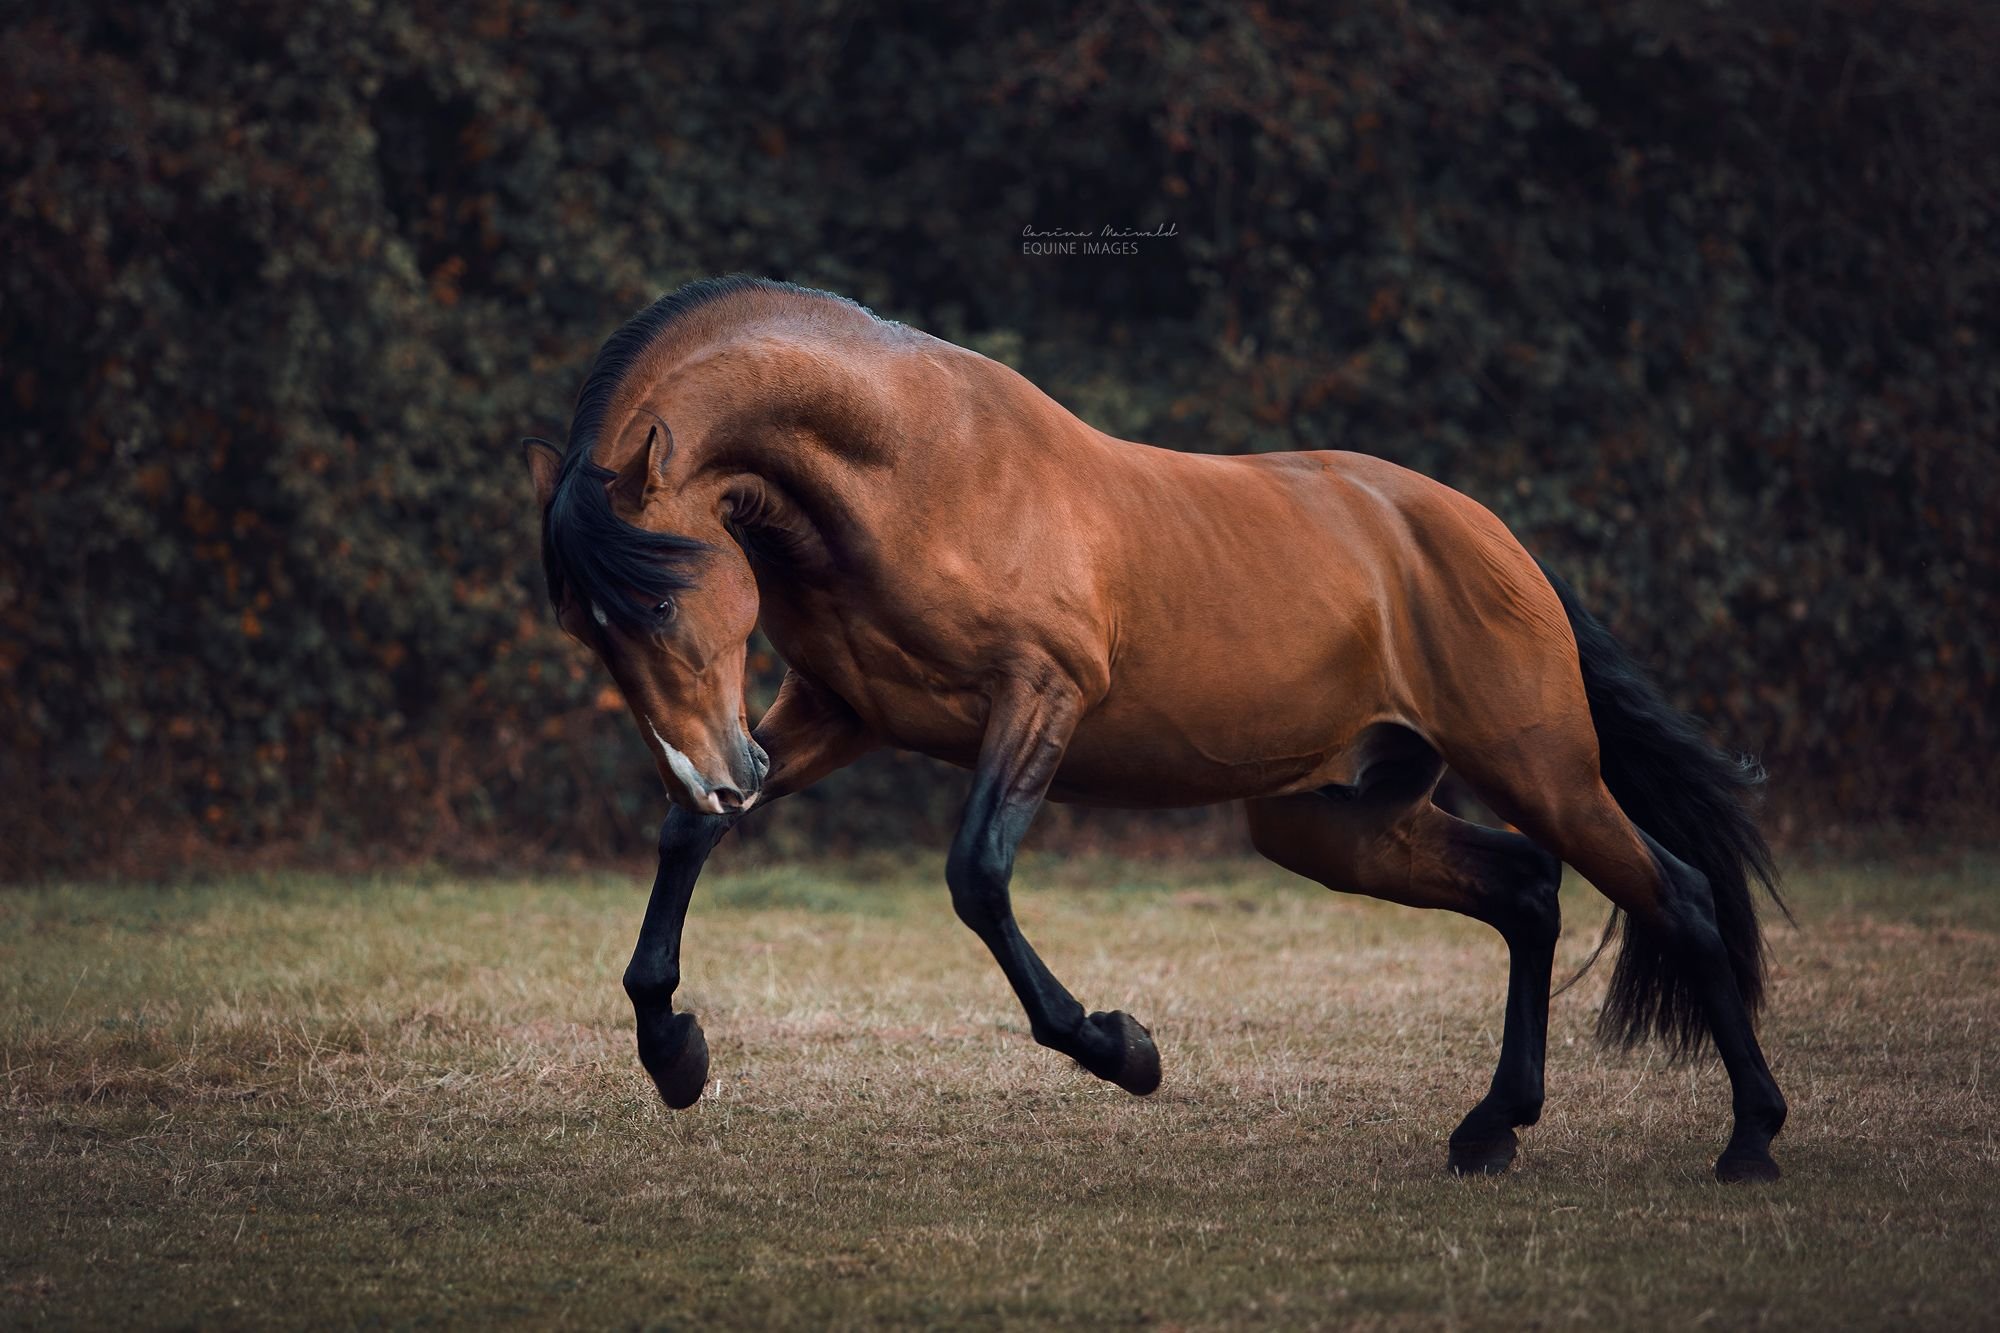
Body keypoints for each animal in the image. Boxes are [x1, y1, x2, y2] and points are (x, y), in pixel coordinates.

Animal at [524, 274, 1792, 1176]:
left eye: (661, 593)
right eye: (584, 623)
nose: (716, 769)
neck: (909, 471)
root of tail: (1485, 538)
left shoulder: (1039, 695)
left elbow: (975, 877)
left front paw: (1123, 1051)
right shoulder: (837, 714)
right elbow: (688, 840)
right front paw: (674, 1055)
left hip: (1539, 768)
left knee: (1675, 893)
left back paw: (1749, 1139)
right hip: (1332, 822)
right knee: (1527, 890)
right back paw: (1490, 1130)